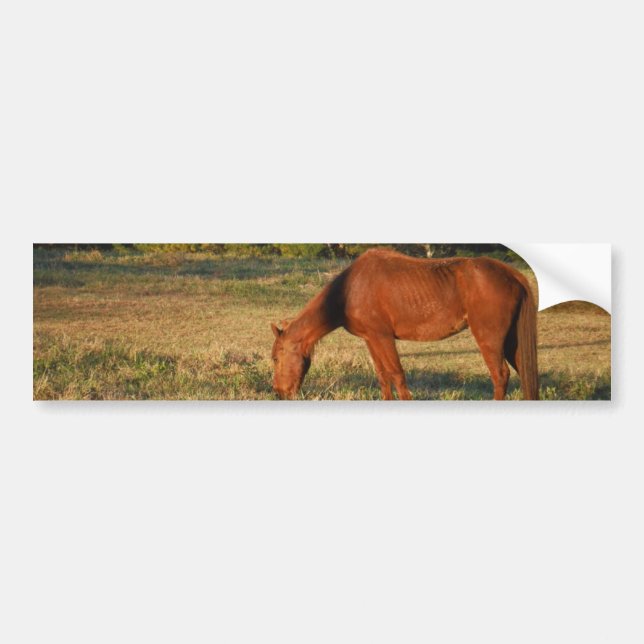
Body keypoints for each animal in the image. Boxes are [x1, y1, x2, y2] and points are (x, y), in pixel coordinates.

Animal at [271, 248, 539, 400]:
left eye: (275, 358)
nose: (279, 392)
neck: (350, 289)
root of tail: (511, 274)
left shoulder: (383, 338)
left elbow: (397, 376)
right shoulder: (371, 339)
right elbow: (383, 377)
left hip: (489, 339)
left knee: (500, 376)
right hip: (512, 341)